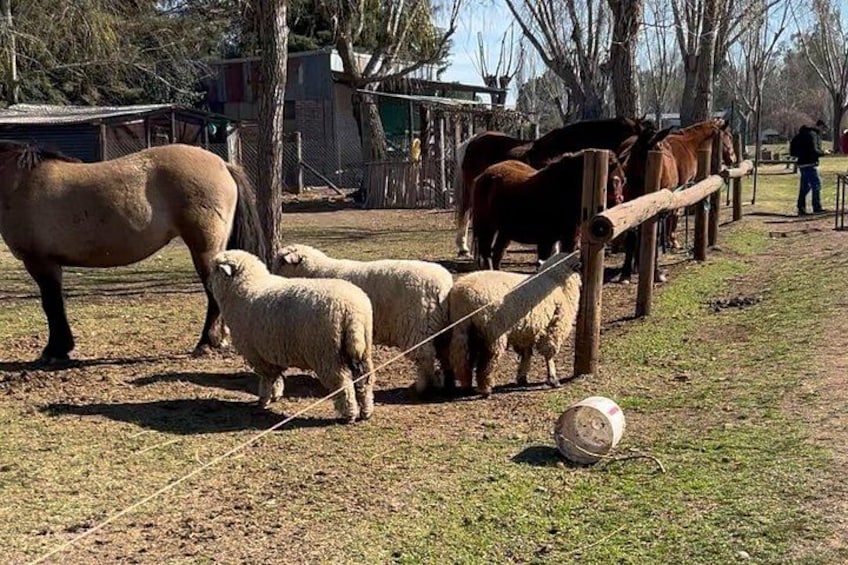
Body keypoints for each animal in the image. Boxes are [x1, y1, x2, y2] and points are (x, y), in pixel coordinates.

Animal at [0, 141, 267, 365]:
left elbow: (51, 304)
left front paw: (54, 350)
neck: (18, 183)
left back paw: (206, 343)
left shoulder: (39, 262)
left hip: (204, 249)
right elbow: (56, 303)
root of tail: (223, 164)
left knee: (213, 292)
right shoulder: (49, 264)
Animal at [208, 249, 376, 424]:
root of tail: (352, 310)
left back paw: (349, 414)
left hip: (327, 354)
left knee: (343, 384)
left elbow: (266, 378)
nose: (207, 285)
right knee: (365, 381)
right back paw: (366, 412)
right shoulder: (271, 352)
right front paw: (275, 395)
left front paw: (264, 400)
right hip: (361, 350)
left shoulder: (257, 354)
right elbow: (275, 376)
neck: (245, 288)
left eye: (215, 270)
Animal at [274, 243, 454, 394]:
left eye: (281, 262)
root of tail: (443, 287)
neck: (315, 271)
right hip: (438, 327)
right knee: (443, 354)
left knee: (425, 358)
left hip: (418, 327)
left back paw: (423, 387)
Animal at [447, 253, 582, 398]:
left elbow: (526, 353)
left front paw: (522, 377)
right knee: (487, 360)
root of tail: (465, 296)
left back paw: (467, 385)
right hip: (493, 332)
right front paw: (553, 379)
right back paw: (486, 389)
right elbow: (548, 354)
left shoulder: (526, 329)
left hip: (464, 329)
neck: (556, 280)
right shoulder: (554, 326)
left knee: (463, 358)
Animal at [470, 150, 626, 271]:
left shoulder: (568, 239)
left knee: (496, 254)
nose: (620, 201)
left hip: (505, 232)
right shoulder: (545, 239)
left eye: (623, 180)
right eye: (615, 180)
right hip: (486, 227)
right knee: (487, 254)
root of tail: (483, 176)